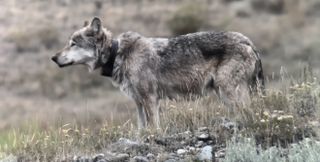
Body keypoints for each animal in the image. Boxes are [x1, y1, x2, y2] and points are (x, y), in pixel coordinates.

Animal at [51, 17, 264, 129]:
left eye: (73, 43)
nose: (53, 58)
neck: (118, 54)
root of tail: (247, 40)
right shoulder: (138, 102)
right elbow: (141, 129)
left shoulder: (150, 99)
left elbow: (155, 127)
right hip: (225, 94)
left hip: (227, 91)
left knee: (247, 111)